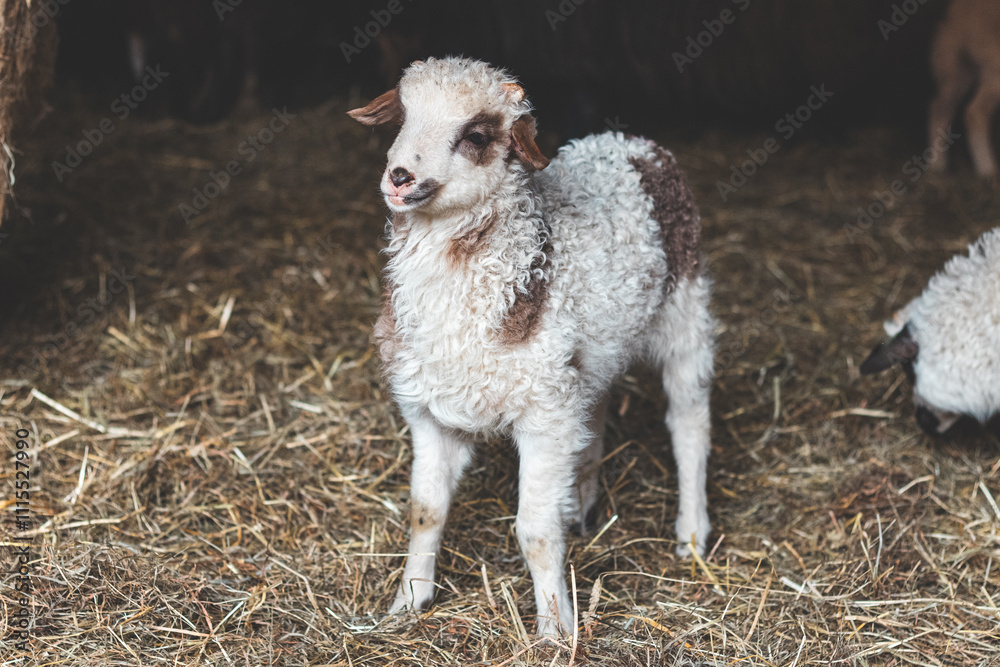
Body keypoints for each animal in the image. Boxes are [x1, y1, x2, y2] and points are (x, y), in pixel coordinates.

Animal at [348, 57, 715, 636]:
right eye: (402, 118)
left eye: (475, 136)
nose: (399, 177)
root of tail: (636, 143)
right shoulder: (431, 411)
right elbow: (426, 510)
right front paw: (407, 602)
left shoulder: (544, 417)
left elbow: (535, 533)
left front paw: (555, 632)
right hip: (587, 363)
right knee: (597, 417)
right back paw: (581, 503)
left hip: (685, 315)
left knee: (689, 423)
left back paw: (693, 532)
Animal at [927, 0, 1000, 178]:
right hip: (992, 66)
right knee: (976, 111)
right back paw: (988, 169)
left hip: (954, 67)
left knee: (939, 107)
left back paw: (937, 165)